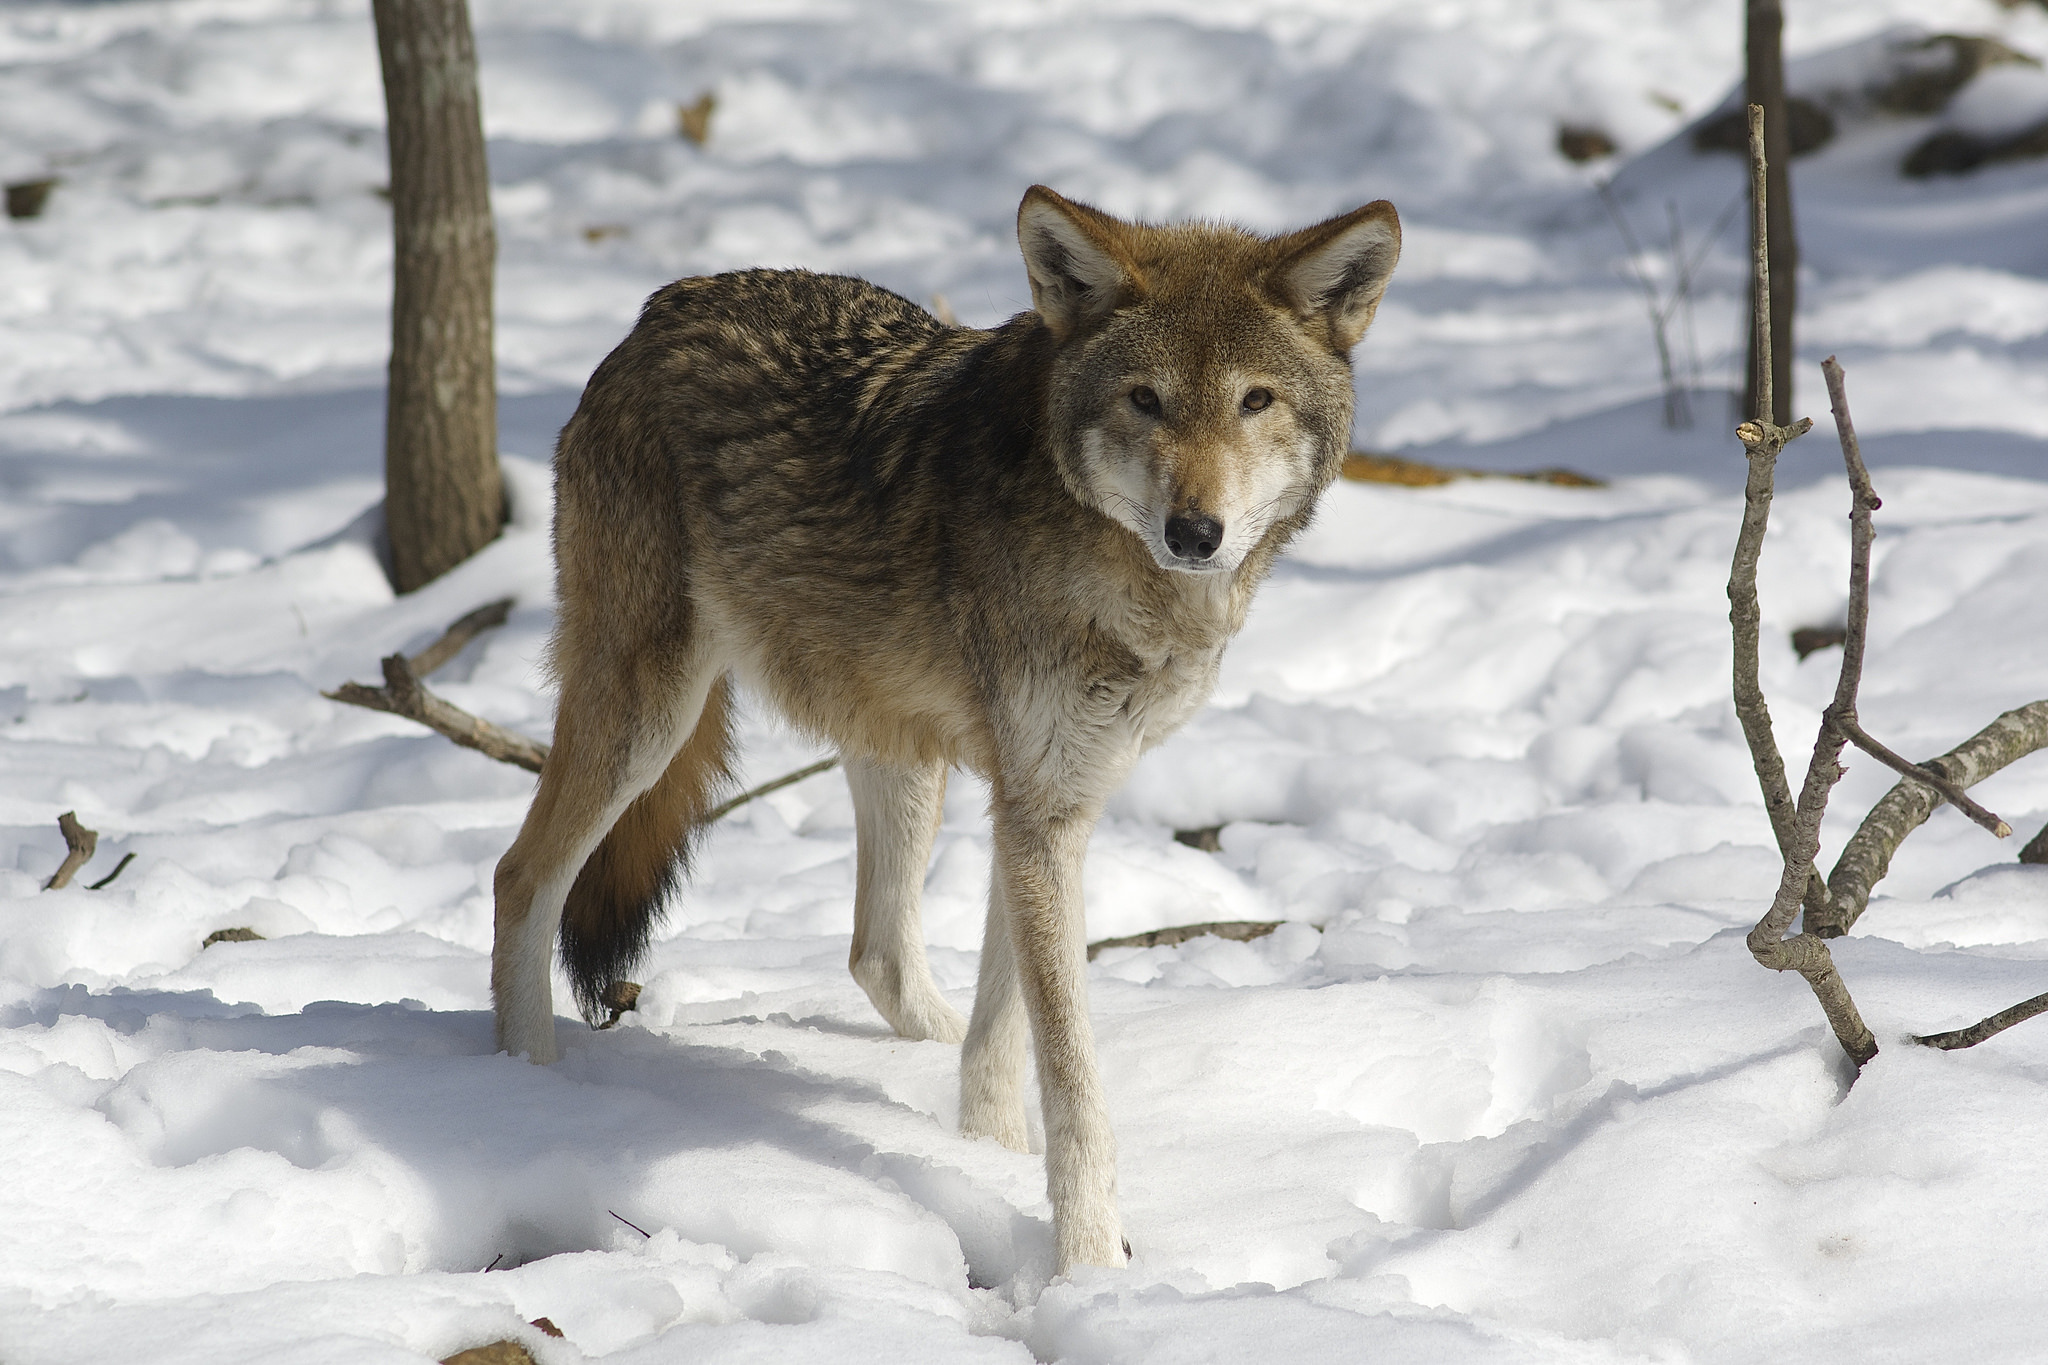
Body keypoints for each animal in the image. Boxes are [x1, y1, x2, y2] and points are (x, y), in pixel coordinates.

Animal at [487, 187, 1400, 1277]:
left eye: (1254, 401)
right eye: (1145, 400)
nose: (1194, 532)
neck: (1120, 576)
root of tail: (655, 312)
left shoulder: (1044, 805)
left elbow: (1006, 1037)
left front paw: (992, 1161)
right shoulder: (1038, 810)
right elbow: (1074, 1085)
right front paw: (1091, 1269)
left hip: (899, 754)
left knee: (875, 953)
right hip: (650, 715)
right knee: (522, 878)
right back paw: (528, 1090)